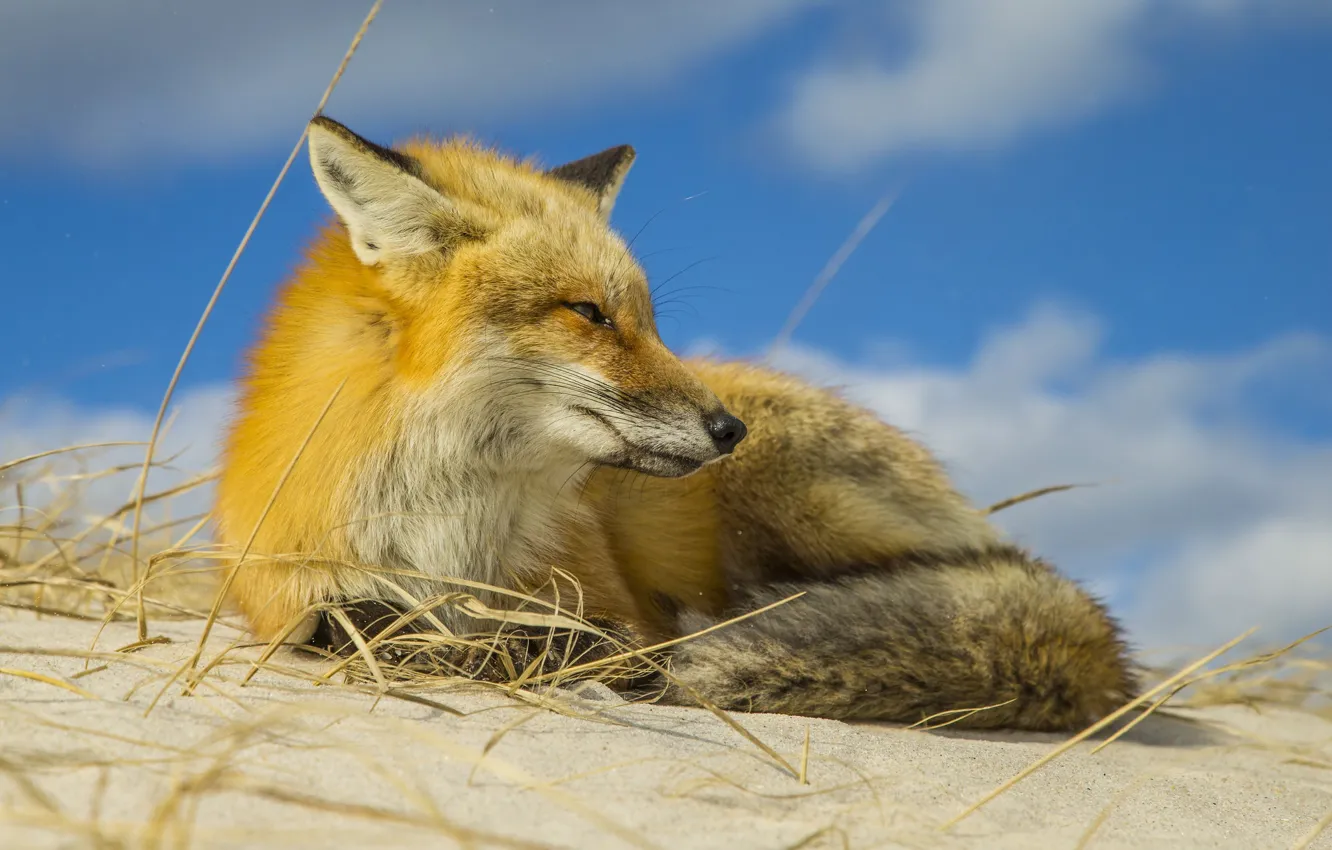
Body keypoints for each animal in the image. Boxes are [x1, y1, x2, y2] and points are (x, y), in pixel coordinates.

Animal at [214, 115, 1137, 732]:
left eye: (652, 321)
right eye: (588, 312)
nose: (728, 431)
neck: (453, 526)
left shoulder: (604, 601)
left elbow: (581, 637)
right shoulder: (289, 588)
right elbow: (353, 625)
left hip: (801, 506)